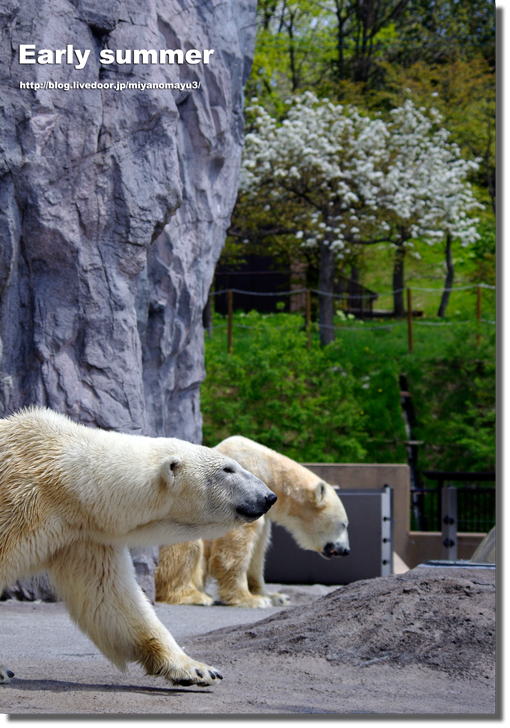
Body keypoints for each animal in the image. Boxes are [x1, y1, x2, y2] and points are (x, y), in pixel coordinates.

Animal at [0, 410, 276, 688]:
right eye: (228, 469)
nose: (269, 497)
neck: (66, 479)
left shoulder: (82, 536)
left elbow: (109, 597)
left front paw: (197, 669)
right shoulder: (17, 508)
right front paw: (3, 670)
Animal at [154, 438, 346, 608]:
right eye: (344, 524)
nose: (345, 550)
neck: (265, 469)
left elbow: (258, 551)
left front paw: (274, 596)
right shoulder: (240, 500)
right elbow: (234, 549)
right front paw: (250, 599)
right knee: (186, 546)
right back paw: (192, 595)